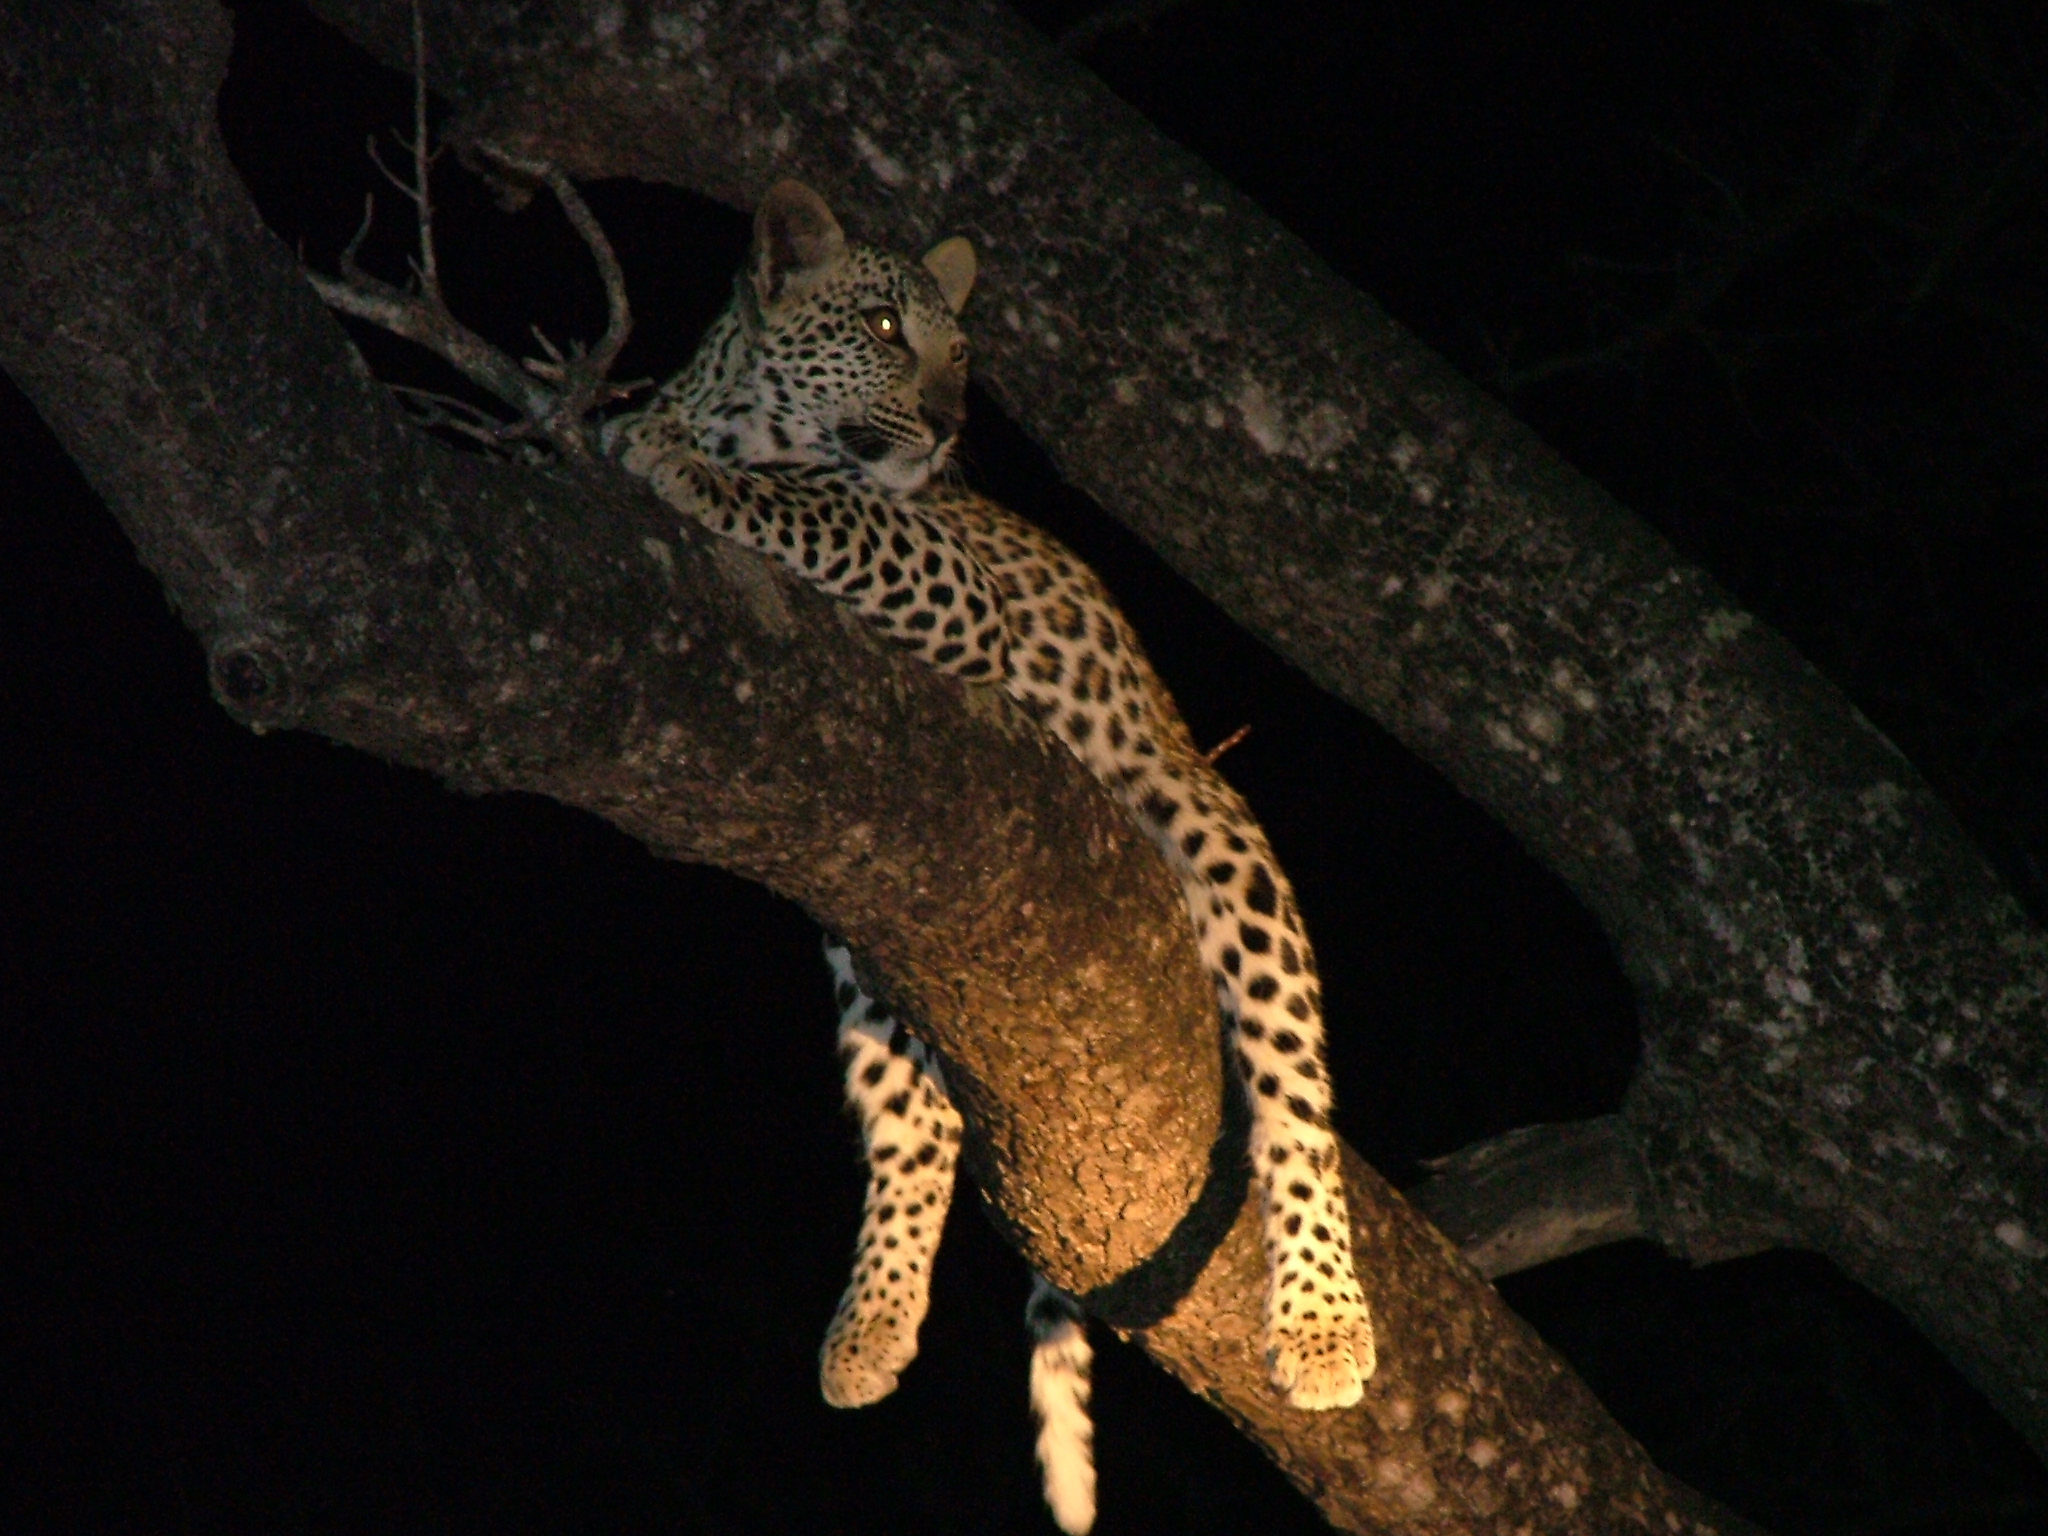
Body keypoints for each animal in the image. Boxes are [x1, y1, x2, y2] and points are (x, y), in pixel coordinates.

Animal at [610, 181, 1376, 1534]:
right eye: (879, 326)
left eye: (960, 353)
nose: (944, 420)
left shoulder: (951, 577)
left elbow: (816, 504)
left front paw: (664, 455)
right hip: (873, 924)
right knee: (914, 1122)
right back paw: (867, 1332)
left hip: (1207, 826)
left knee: (1292, 1091)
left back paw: (1323, 1327)